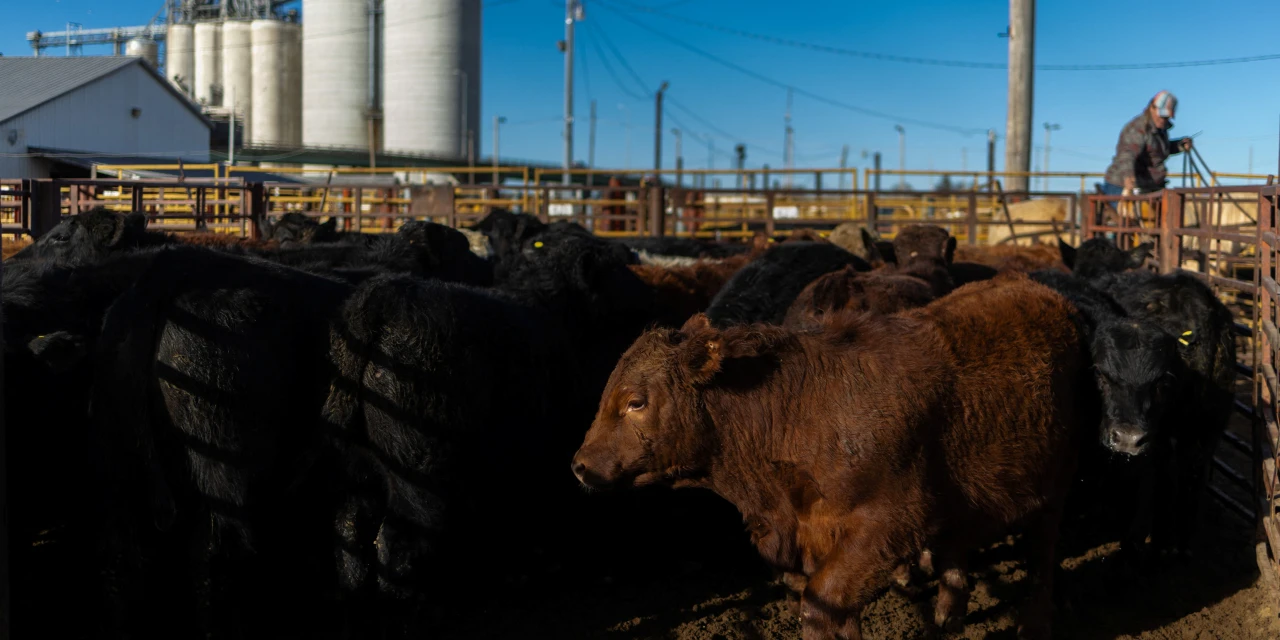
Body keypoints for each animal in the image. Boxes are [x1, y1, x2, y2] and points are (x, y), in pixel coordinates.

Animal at [573, 274, 1094, 639]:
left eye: (636, 401)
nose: (579, 465)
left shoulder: (884, 527)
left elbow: (821, 604)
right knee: (958, 549)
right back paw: (949, 614)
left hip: (1057, 483)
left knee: (1041, 556)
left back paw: (1033, 624)